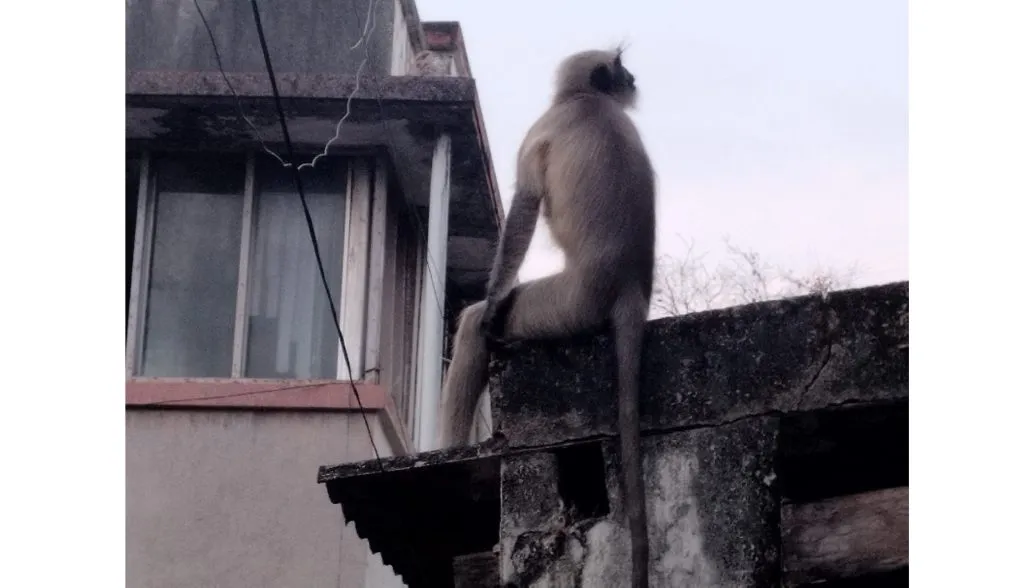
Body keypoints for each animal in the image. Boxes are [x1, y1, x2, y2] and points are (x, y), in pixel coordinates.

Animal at [438, 47, 655, 587]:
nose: (633, 79)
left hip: (564, 303)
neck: (582, 101)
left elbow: (524, 207)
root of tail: (630, 286)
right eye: (622, 68)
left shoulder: (544, 127)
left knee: (476, 326)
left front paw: (492, 302)